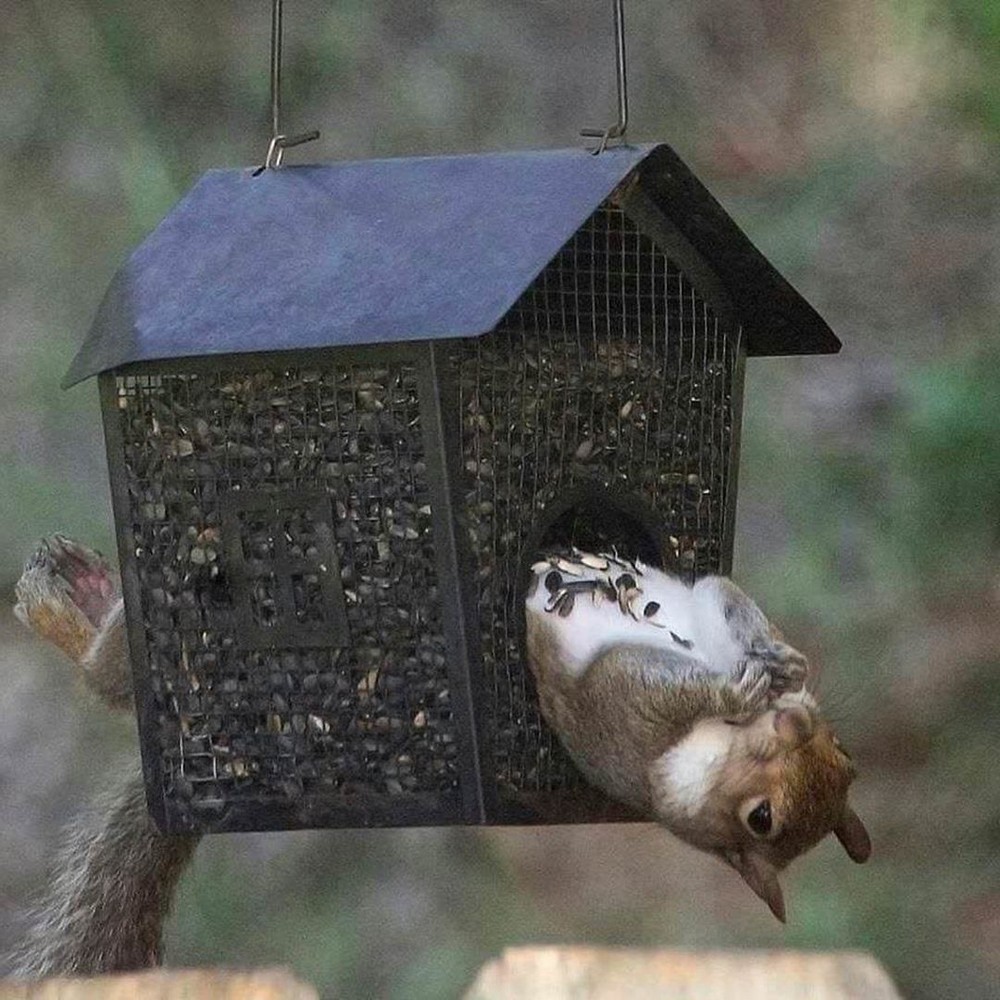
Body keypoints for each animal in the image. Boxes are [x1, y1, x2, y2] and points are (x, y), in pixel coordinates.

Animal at [528, 548, 872, 920]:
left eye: (761, 818)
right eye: (844, 750)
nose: (799, 721)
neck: (731, 730)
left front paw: (754, 675)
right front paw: (782, 667)